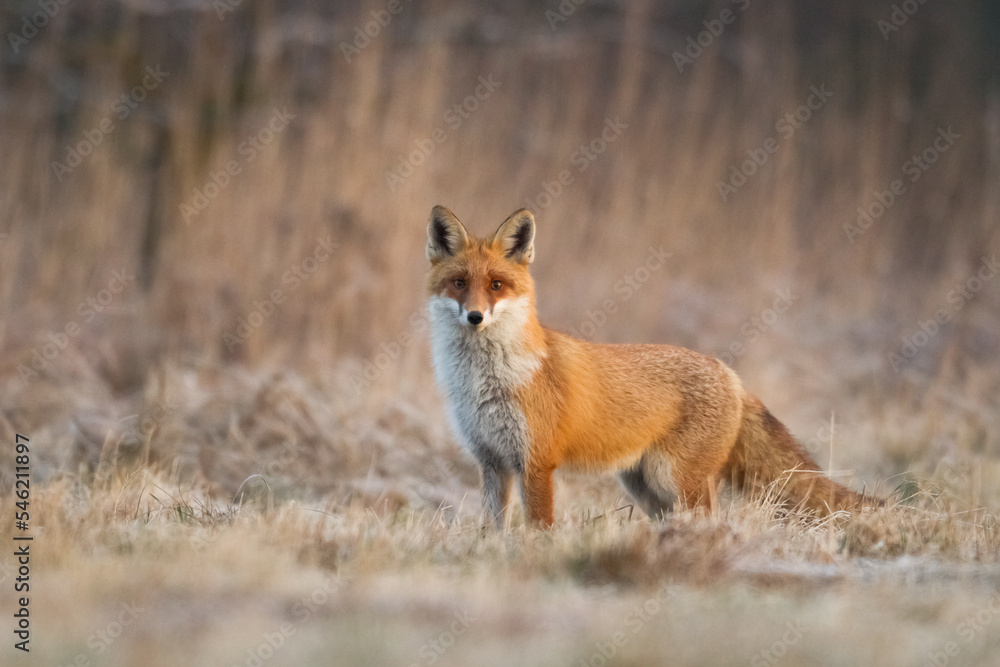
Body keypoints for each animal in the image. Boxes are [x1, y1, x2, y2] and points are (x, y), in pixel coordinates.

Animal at [426, 205, 876, 528]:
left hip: (674, 481)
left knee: (710, 521)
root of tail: (730, 375)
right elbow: (493, 527)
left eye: (497, 285)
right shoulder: (491, 462)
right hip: (647, 489)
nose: (475, 317)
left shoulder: (537, 462)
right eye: (459, 283)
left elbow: (539, 527)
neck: (486, 382)